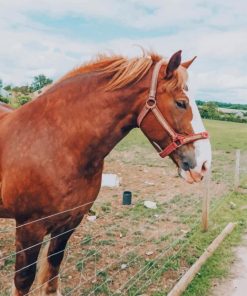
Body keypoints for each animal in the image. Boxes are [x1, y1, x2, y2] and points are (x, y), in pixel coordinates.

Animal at [0, 49, 211, 294]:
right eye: (181, 103)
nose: (204, 164)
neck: (55, 142)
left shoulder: (68, 224)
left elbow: (53, 270)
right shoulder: (29, 229)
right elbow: (23, 280)